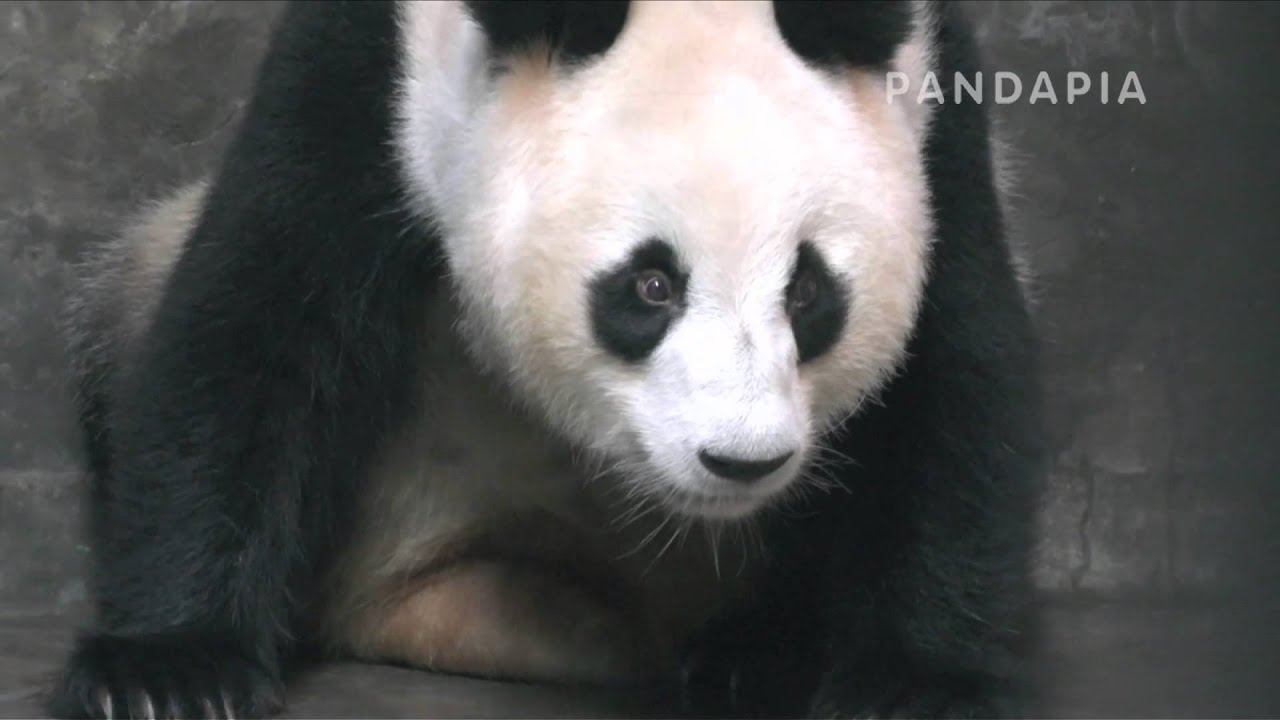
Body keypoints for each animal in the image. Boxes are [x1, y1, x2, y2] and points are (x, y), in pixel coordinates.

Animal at [48, 1, 1045, 719]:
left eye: (807, 292)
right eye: (650, 285)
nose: (740, 461)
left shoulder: (931, 118)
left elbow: (947, 386)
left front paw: (916, 685)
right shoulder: (373, 71)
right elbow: (262, 323)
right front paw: (165, 673)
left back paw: (759, 650)